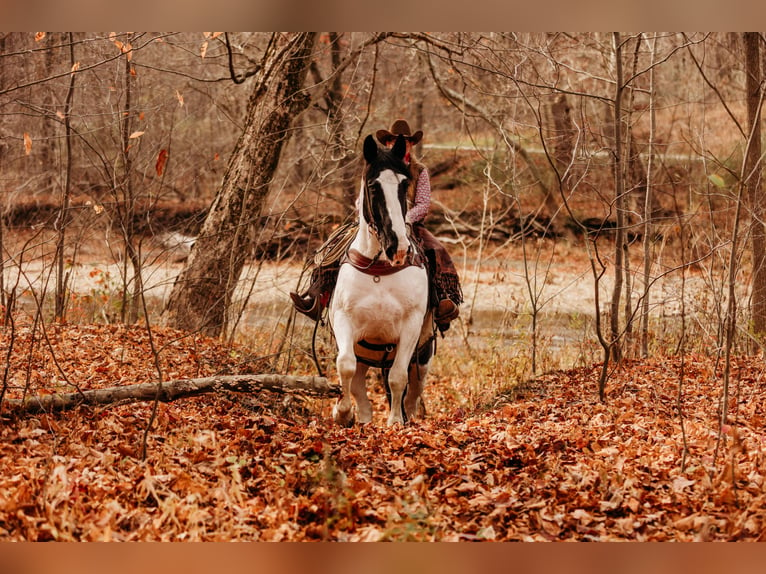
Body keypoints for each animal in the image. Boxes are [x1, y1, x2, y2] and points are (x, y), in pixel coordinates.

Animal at [330, 134, 436, 428]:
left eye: (404, 184)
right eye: (372, 186)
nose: (397, 247)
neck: (379, 269)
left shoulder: (411, 327)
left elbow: (398, 377)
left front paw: (395, 422)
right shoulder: (343, 319)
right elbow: (345, 365)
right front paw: (343, 413)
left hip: (424, 352)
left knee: (414, 387)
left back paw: (408, 415)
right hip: (365, 351)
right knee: (358, 382)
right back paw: (364, 418)